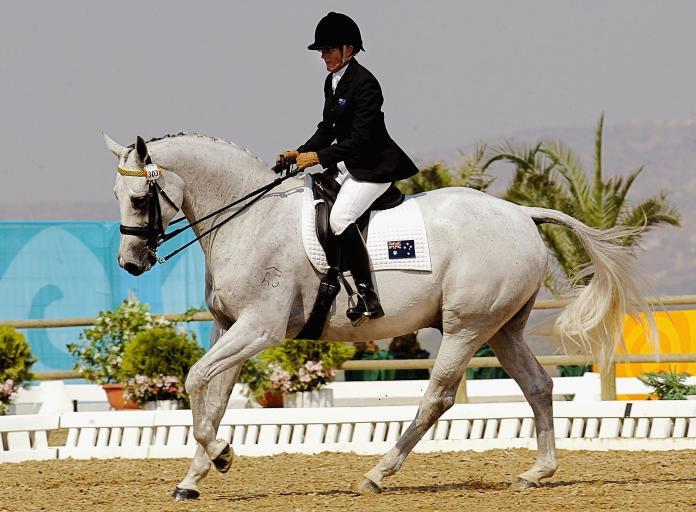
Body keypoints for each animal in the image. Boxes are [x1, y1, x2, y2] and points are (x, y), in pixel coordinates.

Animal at [103, 132, 652, 500]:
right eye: (117, 198)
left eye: (139, 198)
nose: (130, 264)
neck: (248, 222)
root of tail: (520, 213)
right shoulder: (228, 327)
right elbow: (213, 397)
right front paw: (193, 479)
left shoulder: (260, 329)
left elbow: (196, 379)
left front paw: (221, 455)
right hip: (503, 328)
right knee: (537, 385)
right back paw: (537, 472)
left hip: (466, 326)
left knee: (438, 396)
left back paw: (377, 472)